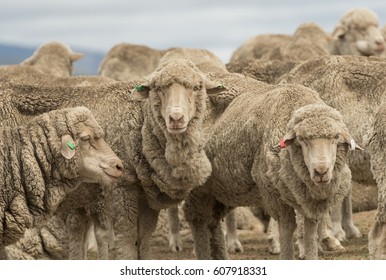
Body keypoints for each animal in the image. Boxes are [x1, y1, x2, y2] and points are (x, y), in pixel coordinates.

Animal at [182, 84, 360, 260]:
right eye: (301, 139)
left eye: (336, 137)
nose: (320, 171)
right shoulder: (275, 195)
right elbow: (288, 228)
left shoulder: (309, 201)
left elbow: (310, 230)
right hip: (197, 189)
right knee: (198, 220)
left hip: (220, 192)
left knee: (212, 222)